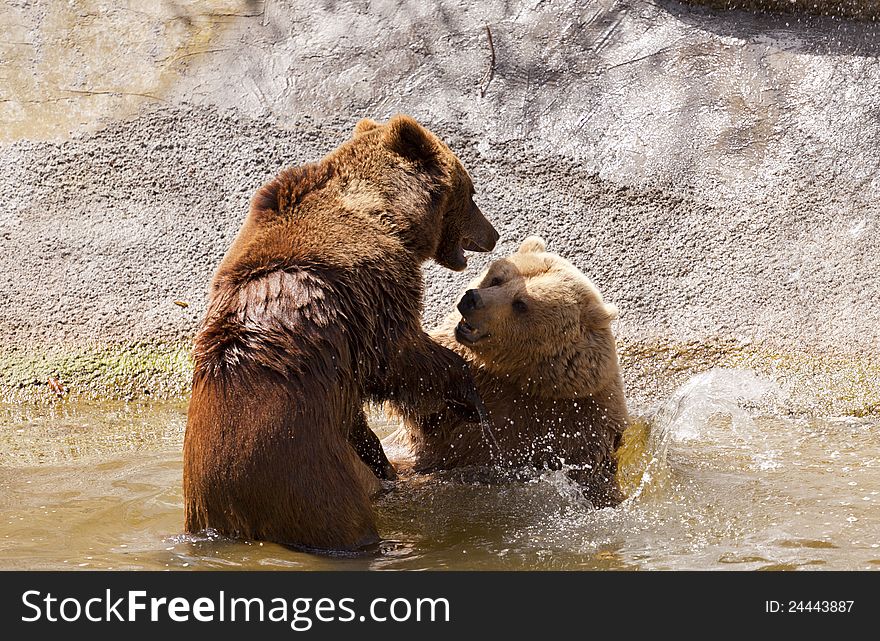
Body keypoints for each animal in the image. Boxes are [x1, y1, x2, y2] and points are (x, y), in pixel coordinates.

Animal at [184, 116, 502, 552]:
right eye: (471, 192)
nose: (493, 234)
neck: (389, 214)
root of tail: (228, 501)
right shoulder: (371, 286)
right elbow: (400, 355)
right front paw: (469, 394)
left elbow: (359, 414)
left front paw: (388, 460)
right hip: (312, 479)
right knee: (344, 522)